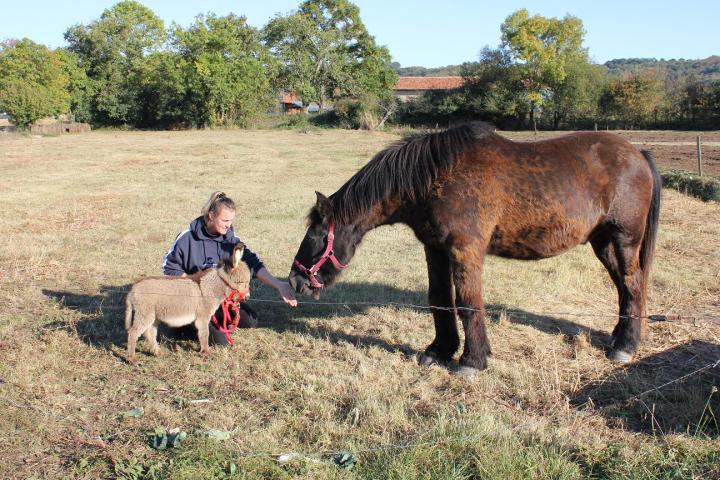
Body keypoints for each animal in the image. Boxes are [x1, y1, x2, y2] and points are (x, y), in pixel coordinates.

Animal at [290, 123, 660, 376]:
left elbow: (469, 303)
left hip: (624, 239)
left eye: (316, 236)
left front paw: (472, 360)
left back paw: (626, 346)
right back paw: (617, 337)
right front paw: (439, 350)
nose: (296, 280)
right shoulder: (435, 249)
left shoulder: (464, 250)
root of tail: (638, 154)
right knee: (624, 288)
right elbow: (440, 299)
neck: (435, 176)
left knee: (633, 285)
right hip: (603, 243)